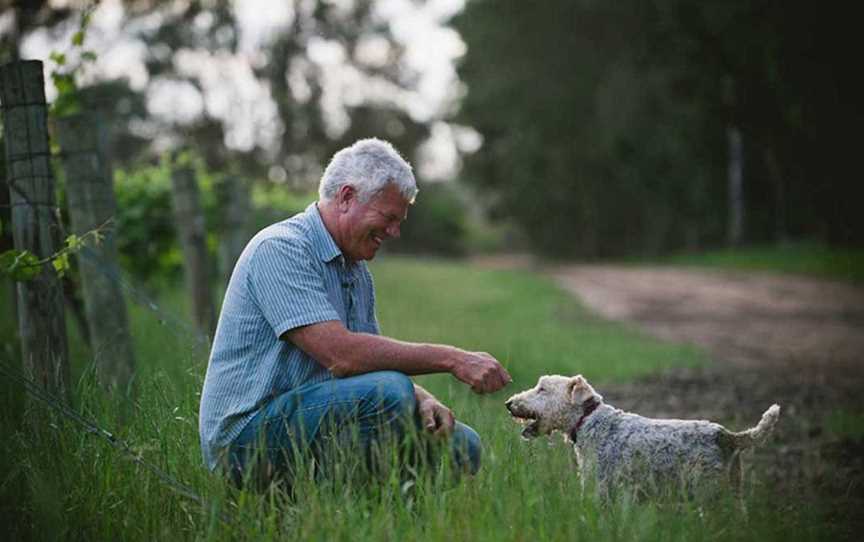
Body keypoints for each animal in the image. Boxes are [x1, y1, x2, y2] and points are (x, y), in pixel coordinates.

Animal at [506, 376, 784, 500]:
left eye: (542, 388)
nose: (509, 403)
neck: (588, 420)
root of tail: (727, 437)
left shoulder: (601, 487)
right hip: (733, 491)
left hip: (707, 490)